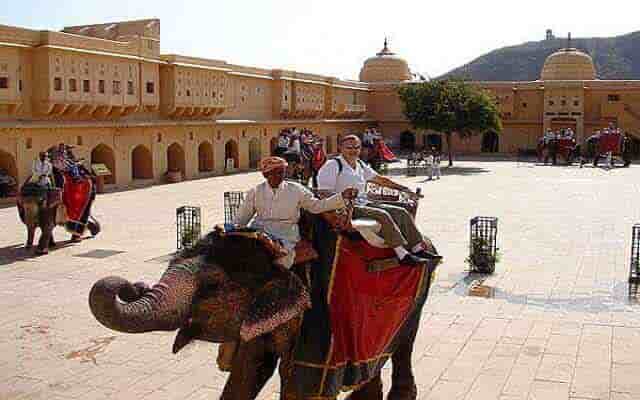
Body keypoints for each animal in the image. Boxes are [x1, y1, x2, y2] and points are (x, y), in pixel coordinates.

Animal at [89, 220, 440, 398]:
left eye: (212, 285)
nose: (133, 286)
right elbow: (249, 371)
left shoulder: (321, 319)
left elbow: (303, 386)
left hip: (420, 292)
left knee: (404, 344)